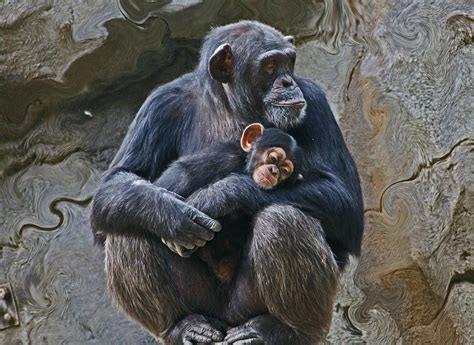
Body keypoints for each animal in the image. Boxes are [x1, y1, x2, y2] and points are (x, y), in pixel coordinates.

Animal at [156, 123, 304, 282]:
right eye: (273, 157)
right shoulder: (218, 159)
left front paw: (211, 199)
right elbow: (178, 178)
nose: (274, 170)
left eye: (284, 170)